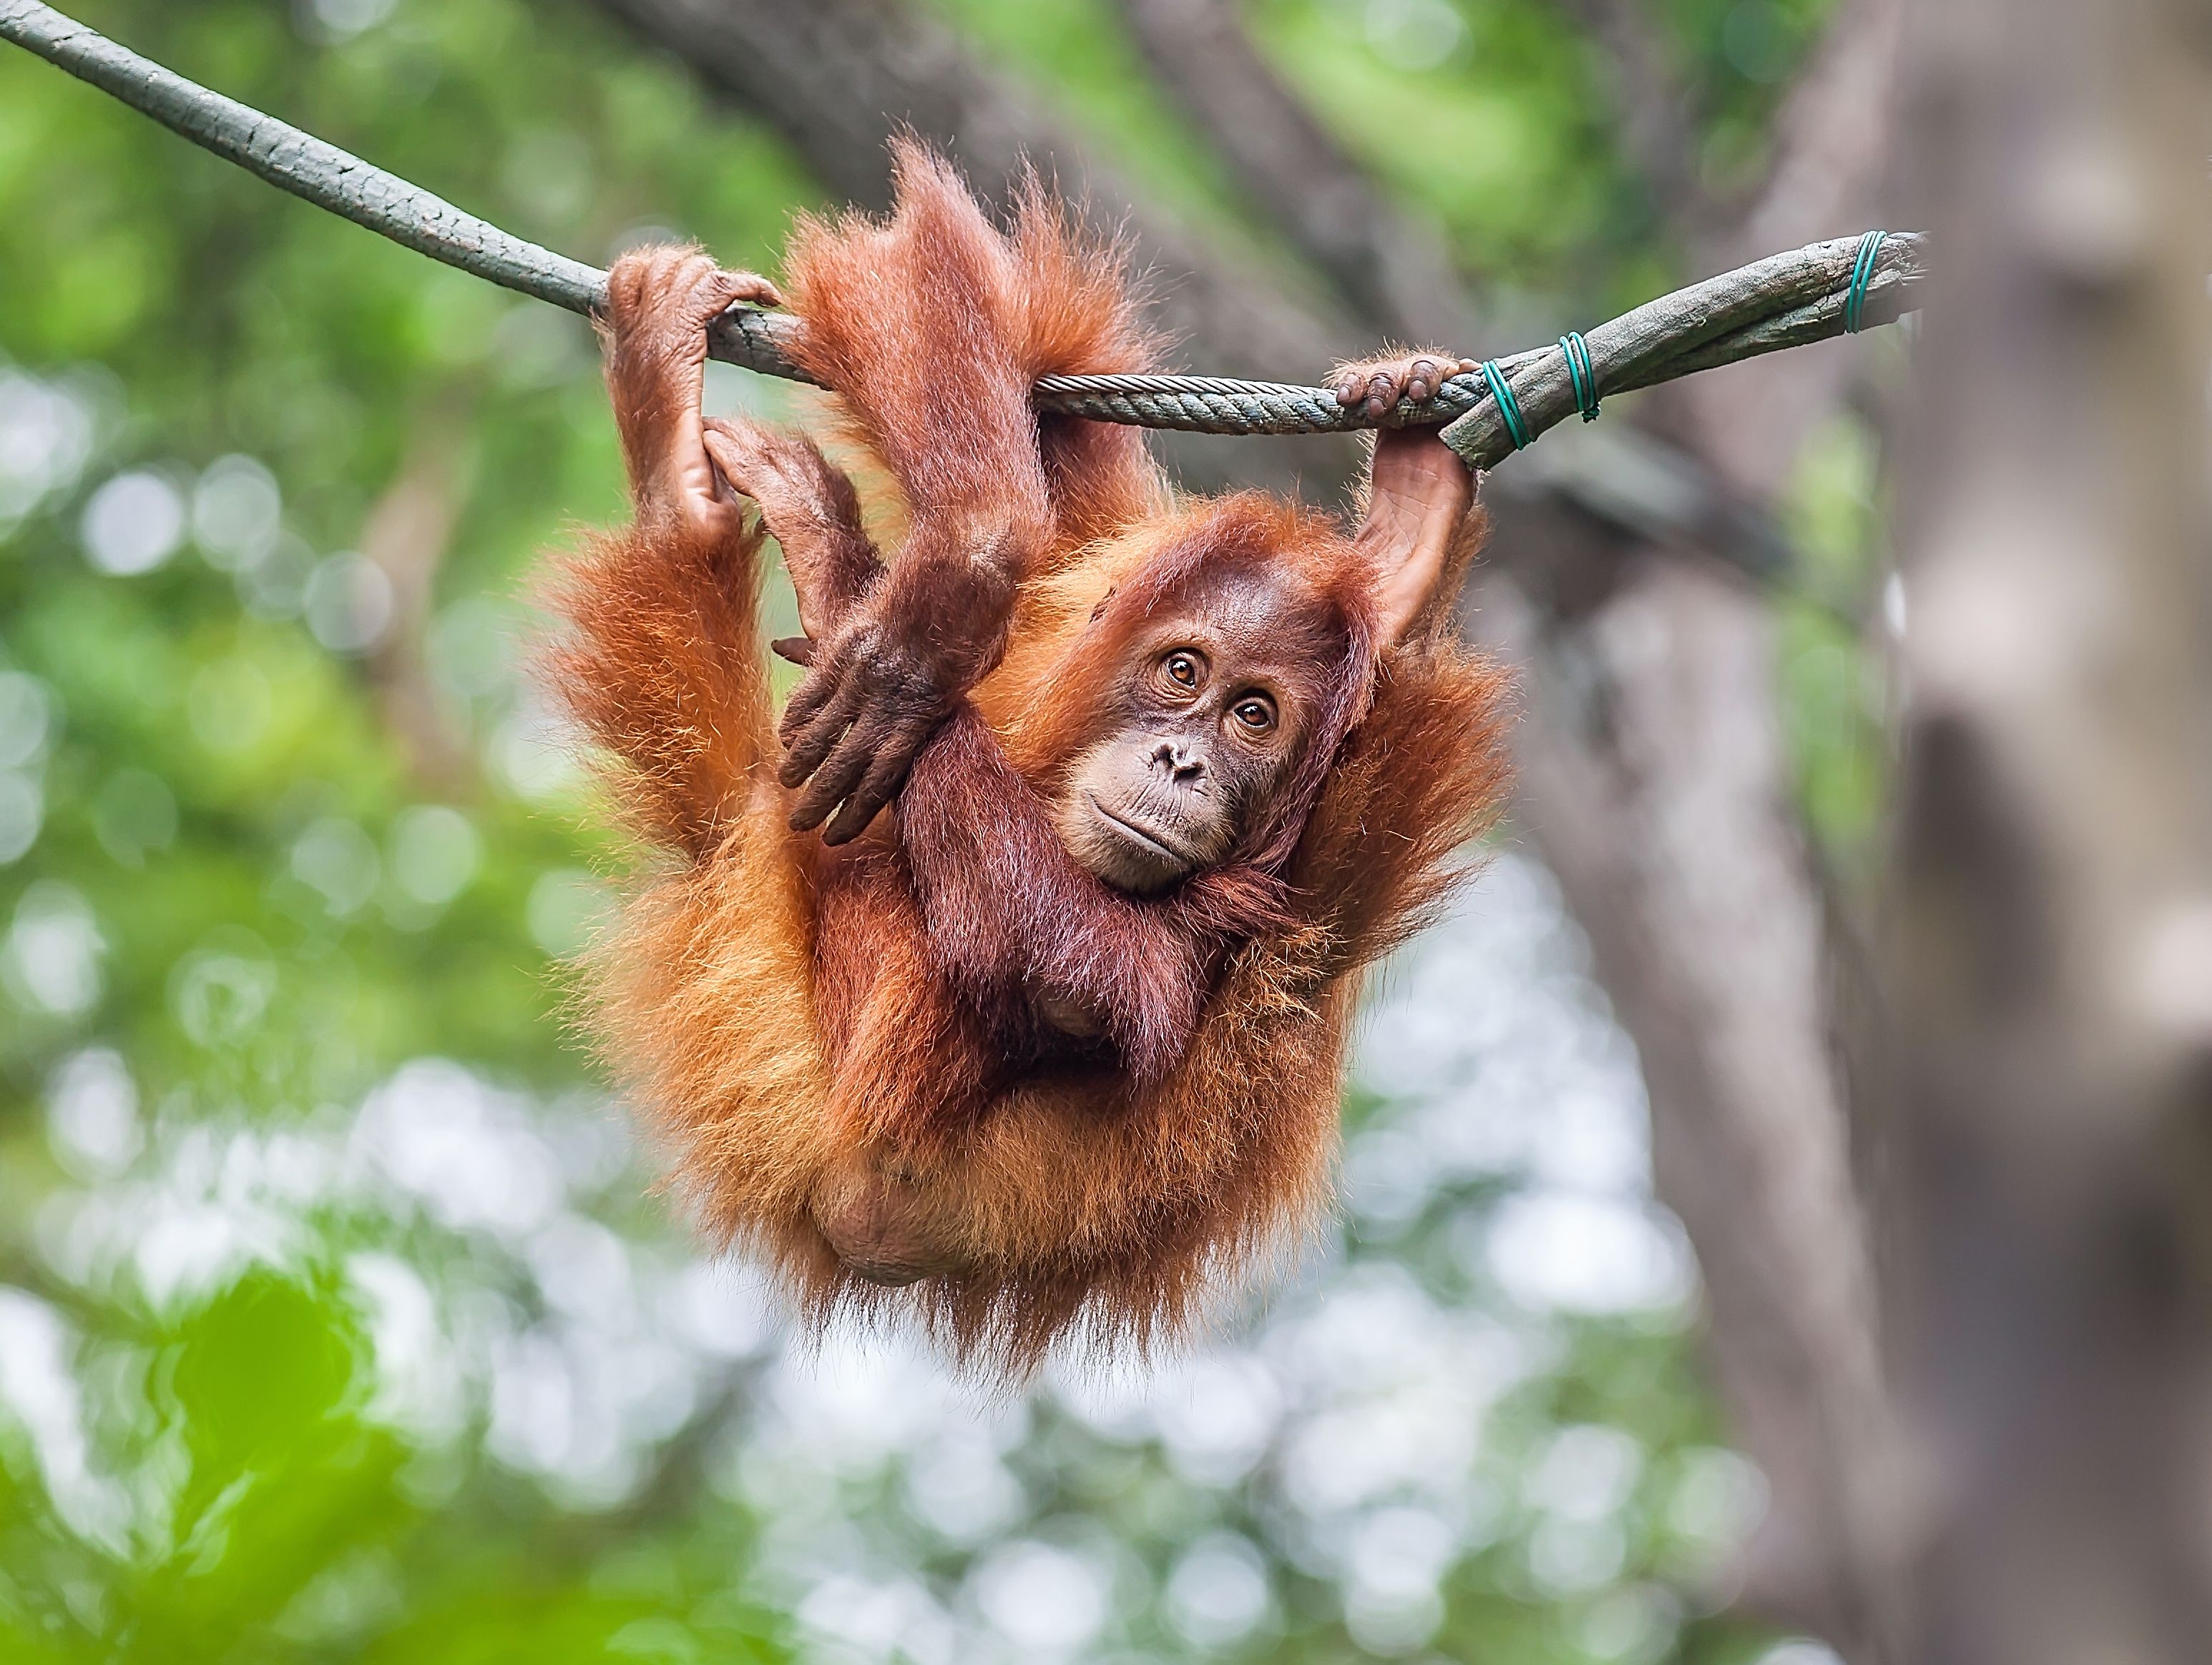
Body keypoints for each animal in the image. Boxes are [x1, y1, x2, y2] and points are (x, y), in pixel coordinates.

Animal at [545, 144, 1510, 1373]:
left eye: (1255, 717)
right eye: (1185, 674)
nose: (1183, 766)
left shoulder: (1298, 872)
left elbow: (1091, 982)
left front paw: (878, 606)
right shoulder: (1105, 553)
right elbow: (956, 310)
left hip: (789, 1050)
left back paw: (713, 514)